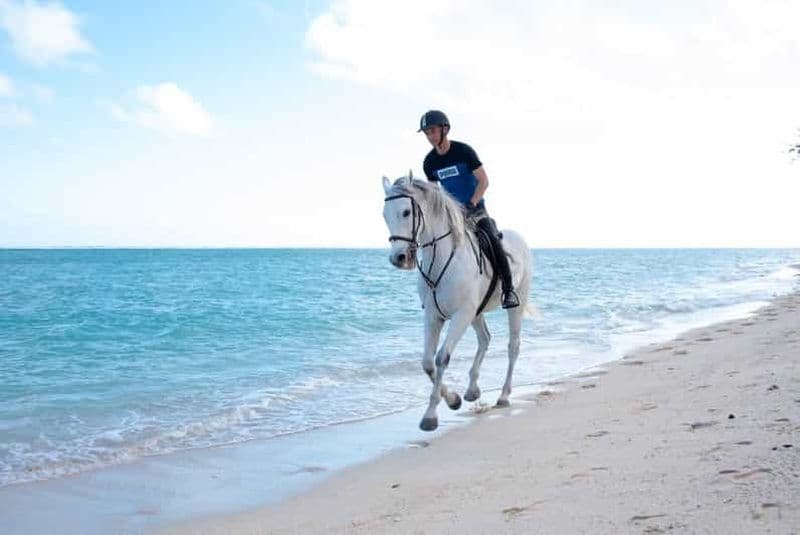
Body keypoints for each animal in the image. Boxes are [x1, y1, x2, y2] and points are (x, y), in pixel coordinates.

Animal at [382, 173, 533, 431]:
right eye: (384, 215)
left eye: (406, 212)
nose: (398, 258)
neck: (441, 259)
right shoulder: (434, 316)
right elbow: (427, 362)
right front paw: (453, 400)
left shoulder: (461, 314)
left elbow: (442, 357)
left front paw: (430, 415)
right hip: (476, 312)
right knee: (485, 338)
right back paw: (472, 390)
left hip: (515, 304)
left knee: (513, 346)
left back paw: (504, 395)